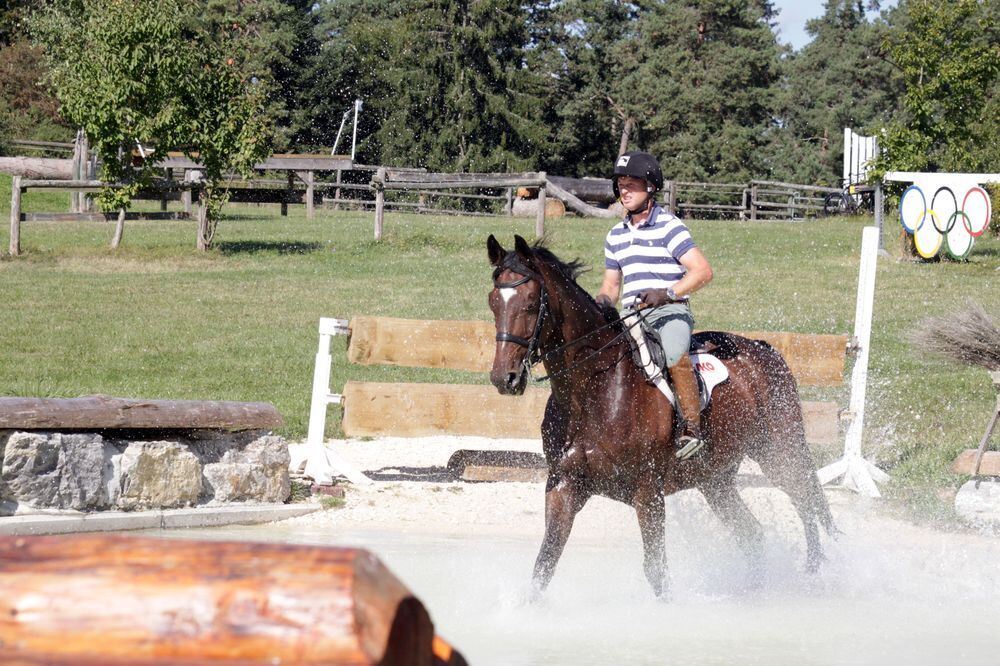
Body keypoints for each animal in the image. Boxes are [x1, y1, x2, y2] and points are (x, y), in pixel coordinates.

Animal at [486, 233, 836, 596]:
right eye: (493, 302)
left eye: (530, 303)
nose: (503, 378)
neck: (594, 390)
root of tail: (764, 349)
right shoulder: (564, 485)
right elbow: (544, 566)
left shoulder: (648, 491)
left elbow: (656, 571)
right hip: (716, 479)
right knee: (753, 533)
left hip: (779, 453)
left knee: (807, 505)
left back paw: (815, 573)